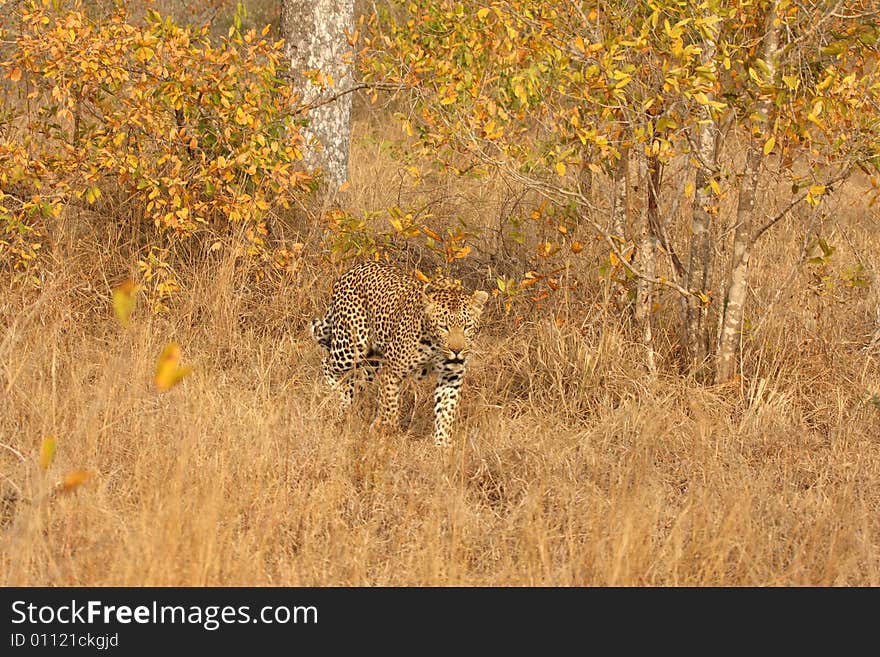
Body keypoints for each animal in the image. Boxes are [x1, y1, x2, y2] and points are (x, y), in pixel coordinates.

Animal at [310, 260, 488, 446]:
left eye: (467, 327)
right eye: (443, 327)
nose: (457, 351)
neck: (434, 347)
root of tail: (352, 269)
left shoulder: (451, 377)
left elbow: (446, 412)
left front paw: (442, 445)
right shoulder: (392, 371)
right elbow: (389, 404)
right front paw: (386, 430)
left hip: (372, 362)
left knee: (355, 381)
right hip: (351, 346)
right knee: (328, 364)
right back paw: (339, 397)